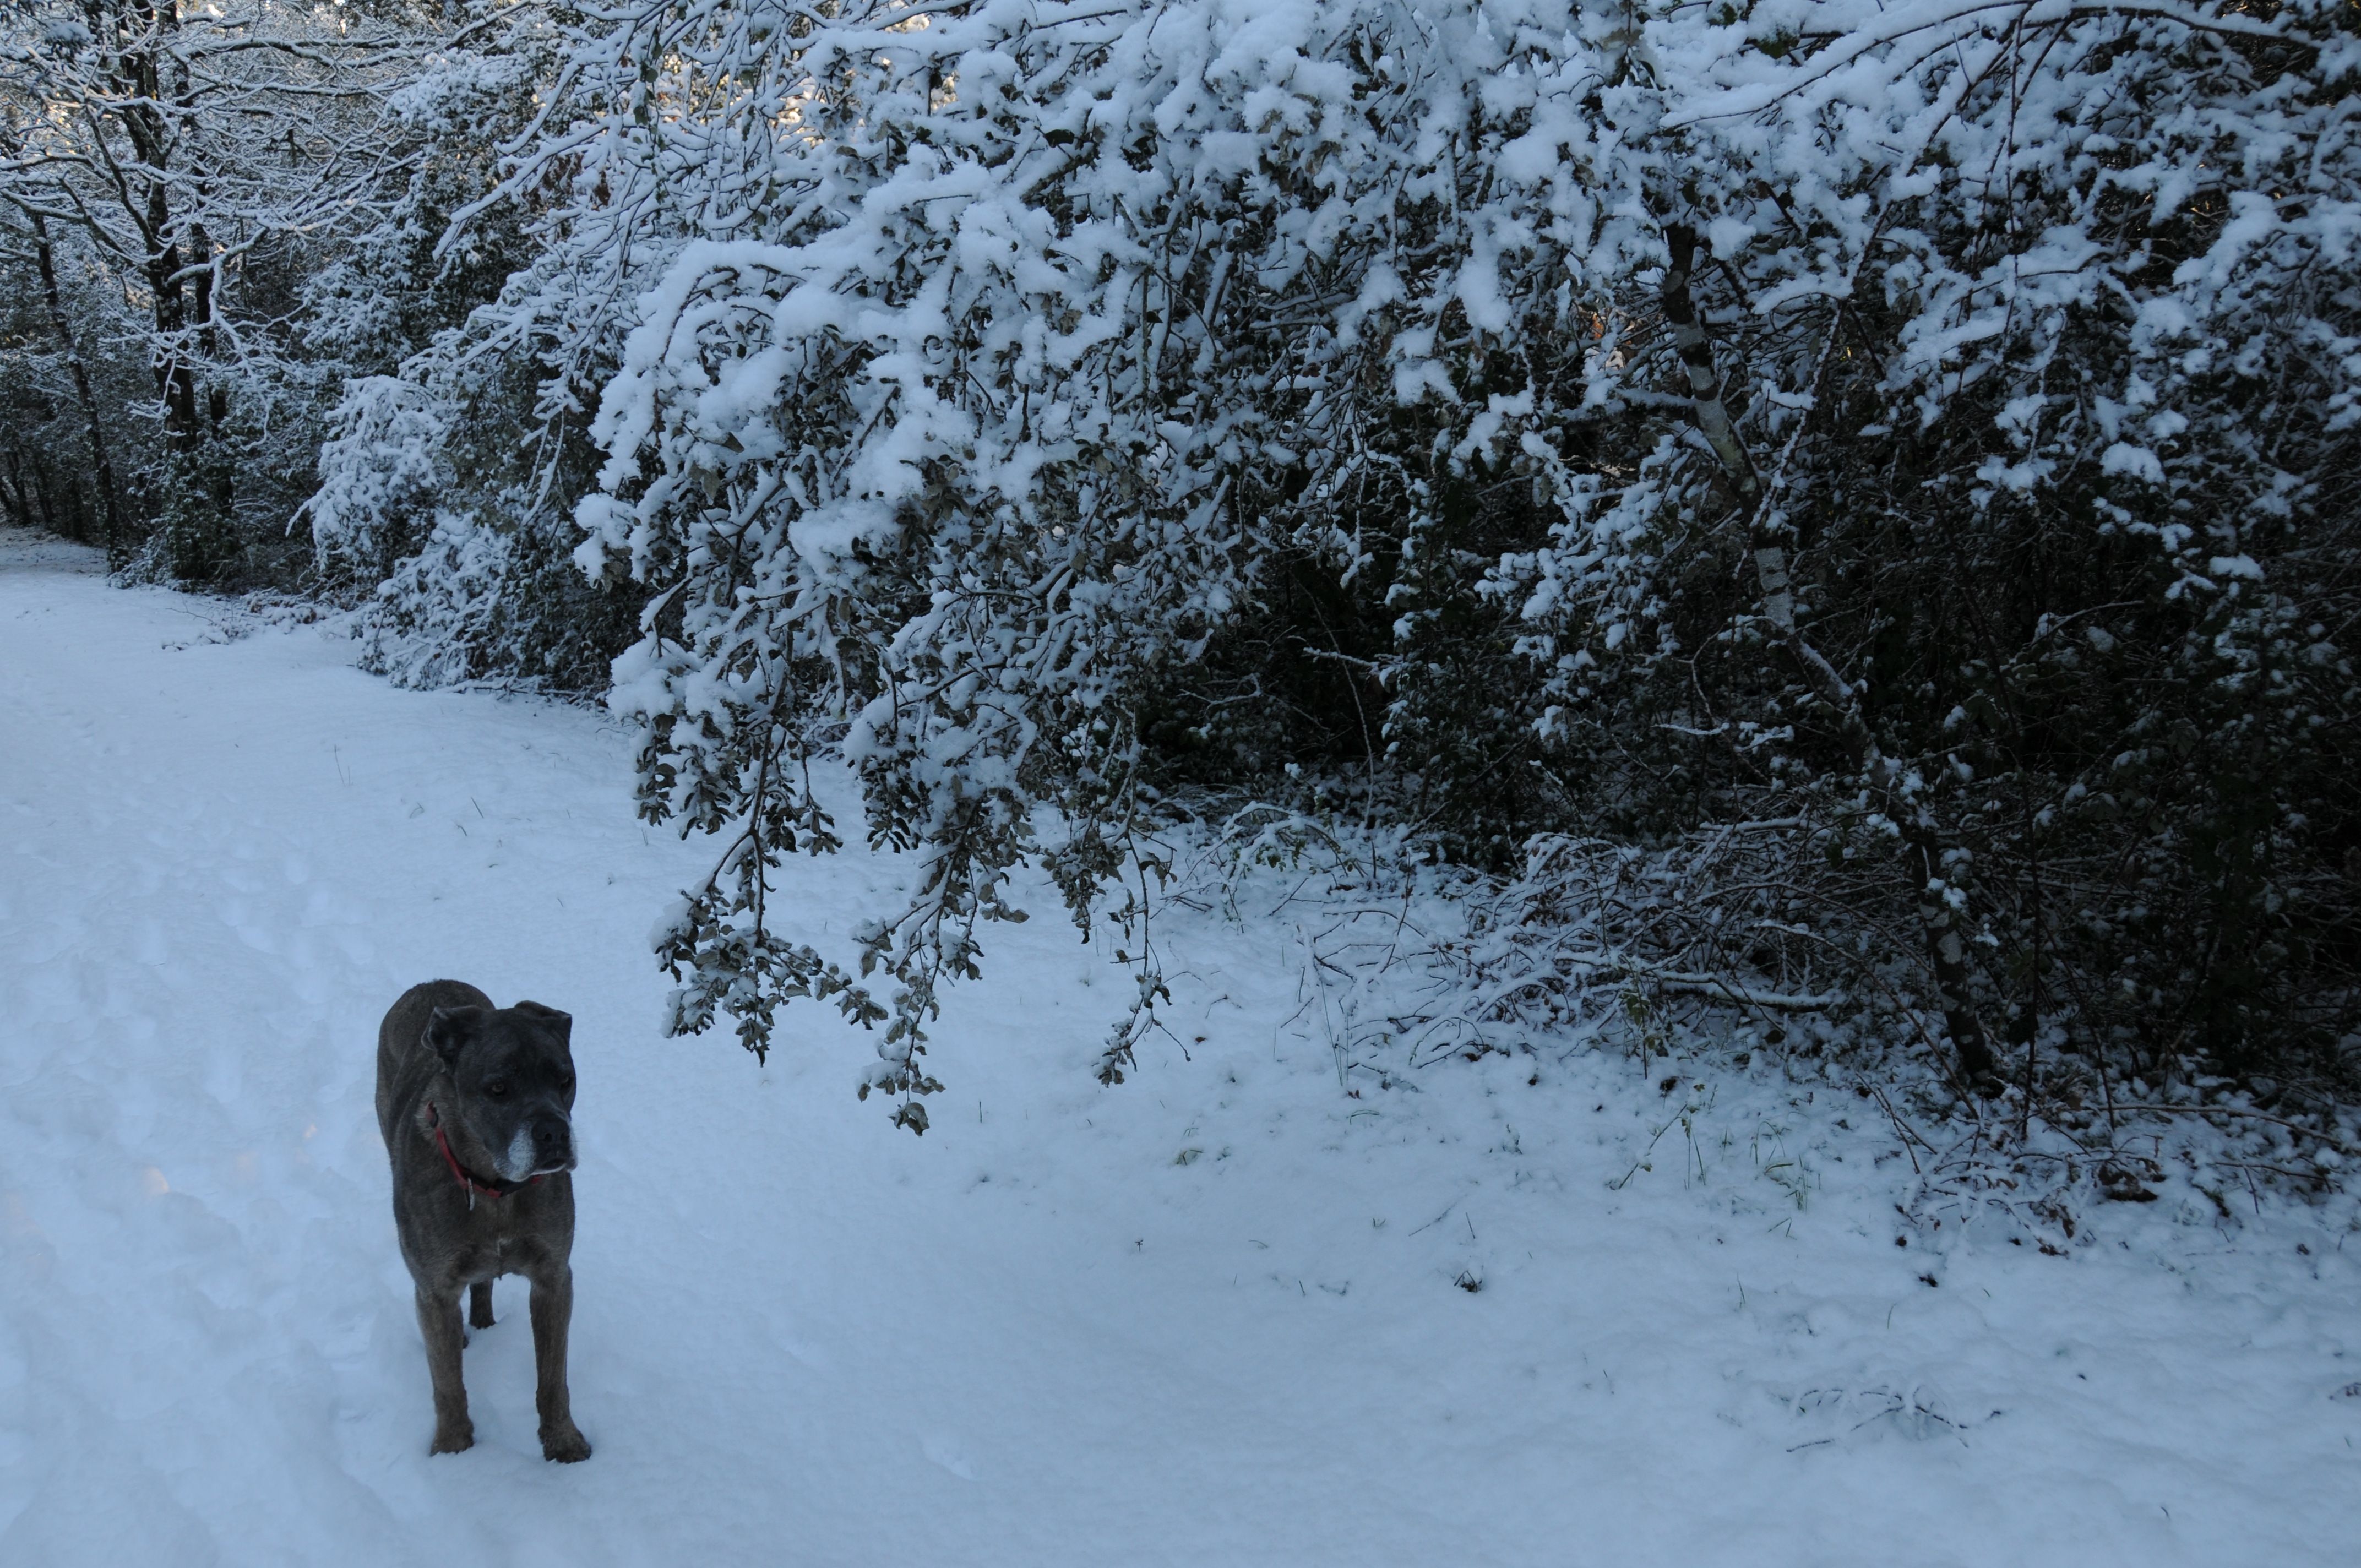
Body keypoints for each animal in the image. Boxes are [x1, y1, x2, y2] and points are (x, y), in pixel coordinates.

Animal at [376, 980, 590, 1461]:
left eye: (565, 1080)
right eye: (498, 1088)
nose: (554, 1133)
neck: (494, 1188)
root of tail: (430, 984)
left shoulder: (554, 1277)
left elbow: (554, 1376)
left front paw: (563, 1441)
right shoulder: (434, 1289)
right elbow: (448, 1383)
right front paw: (453, 1449)